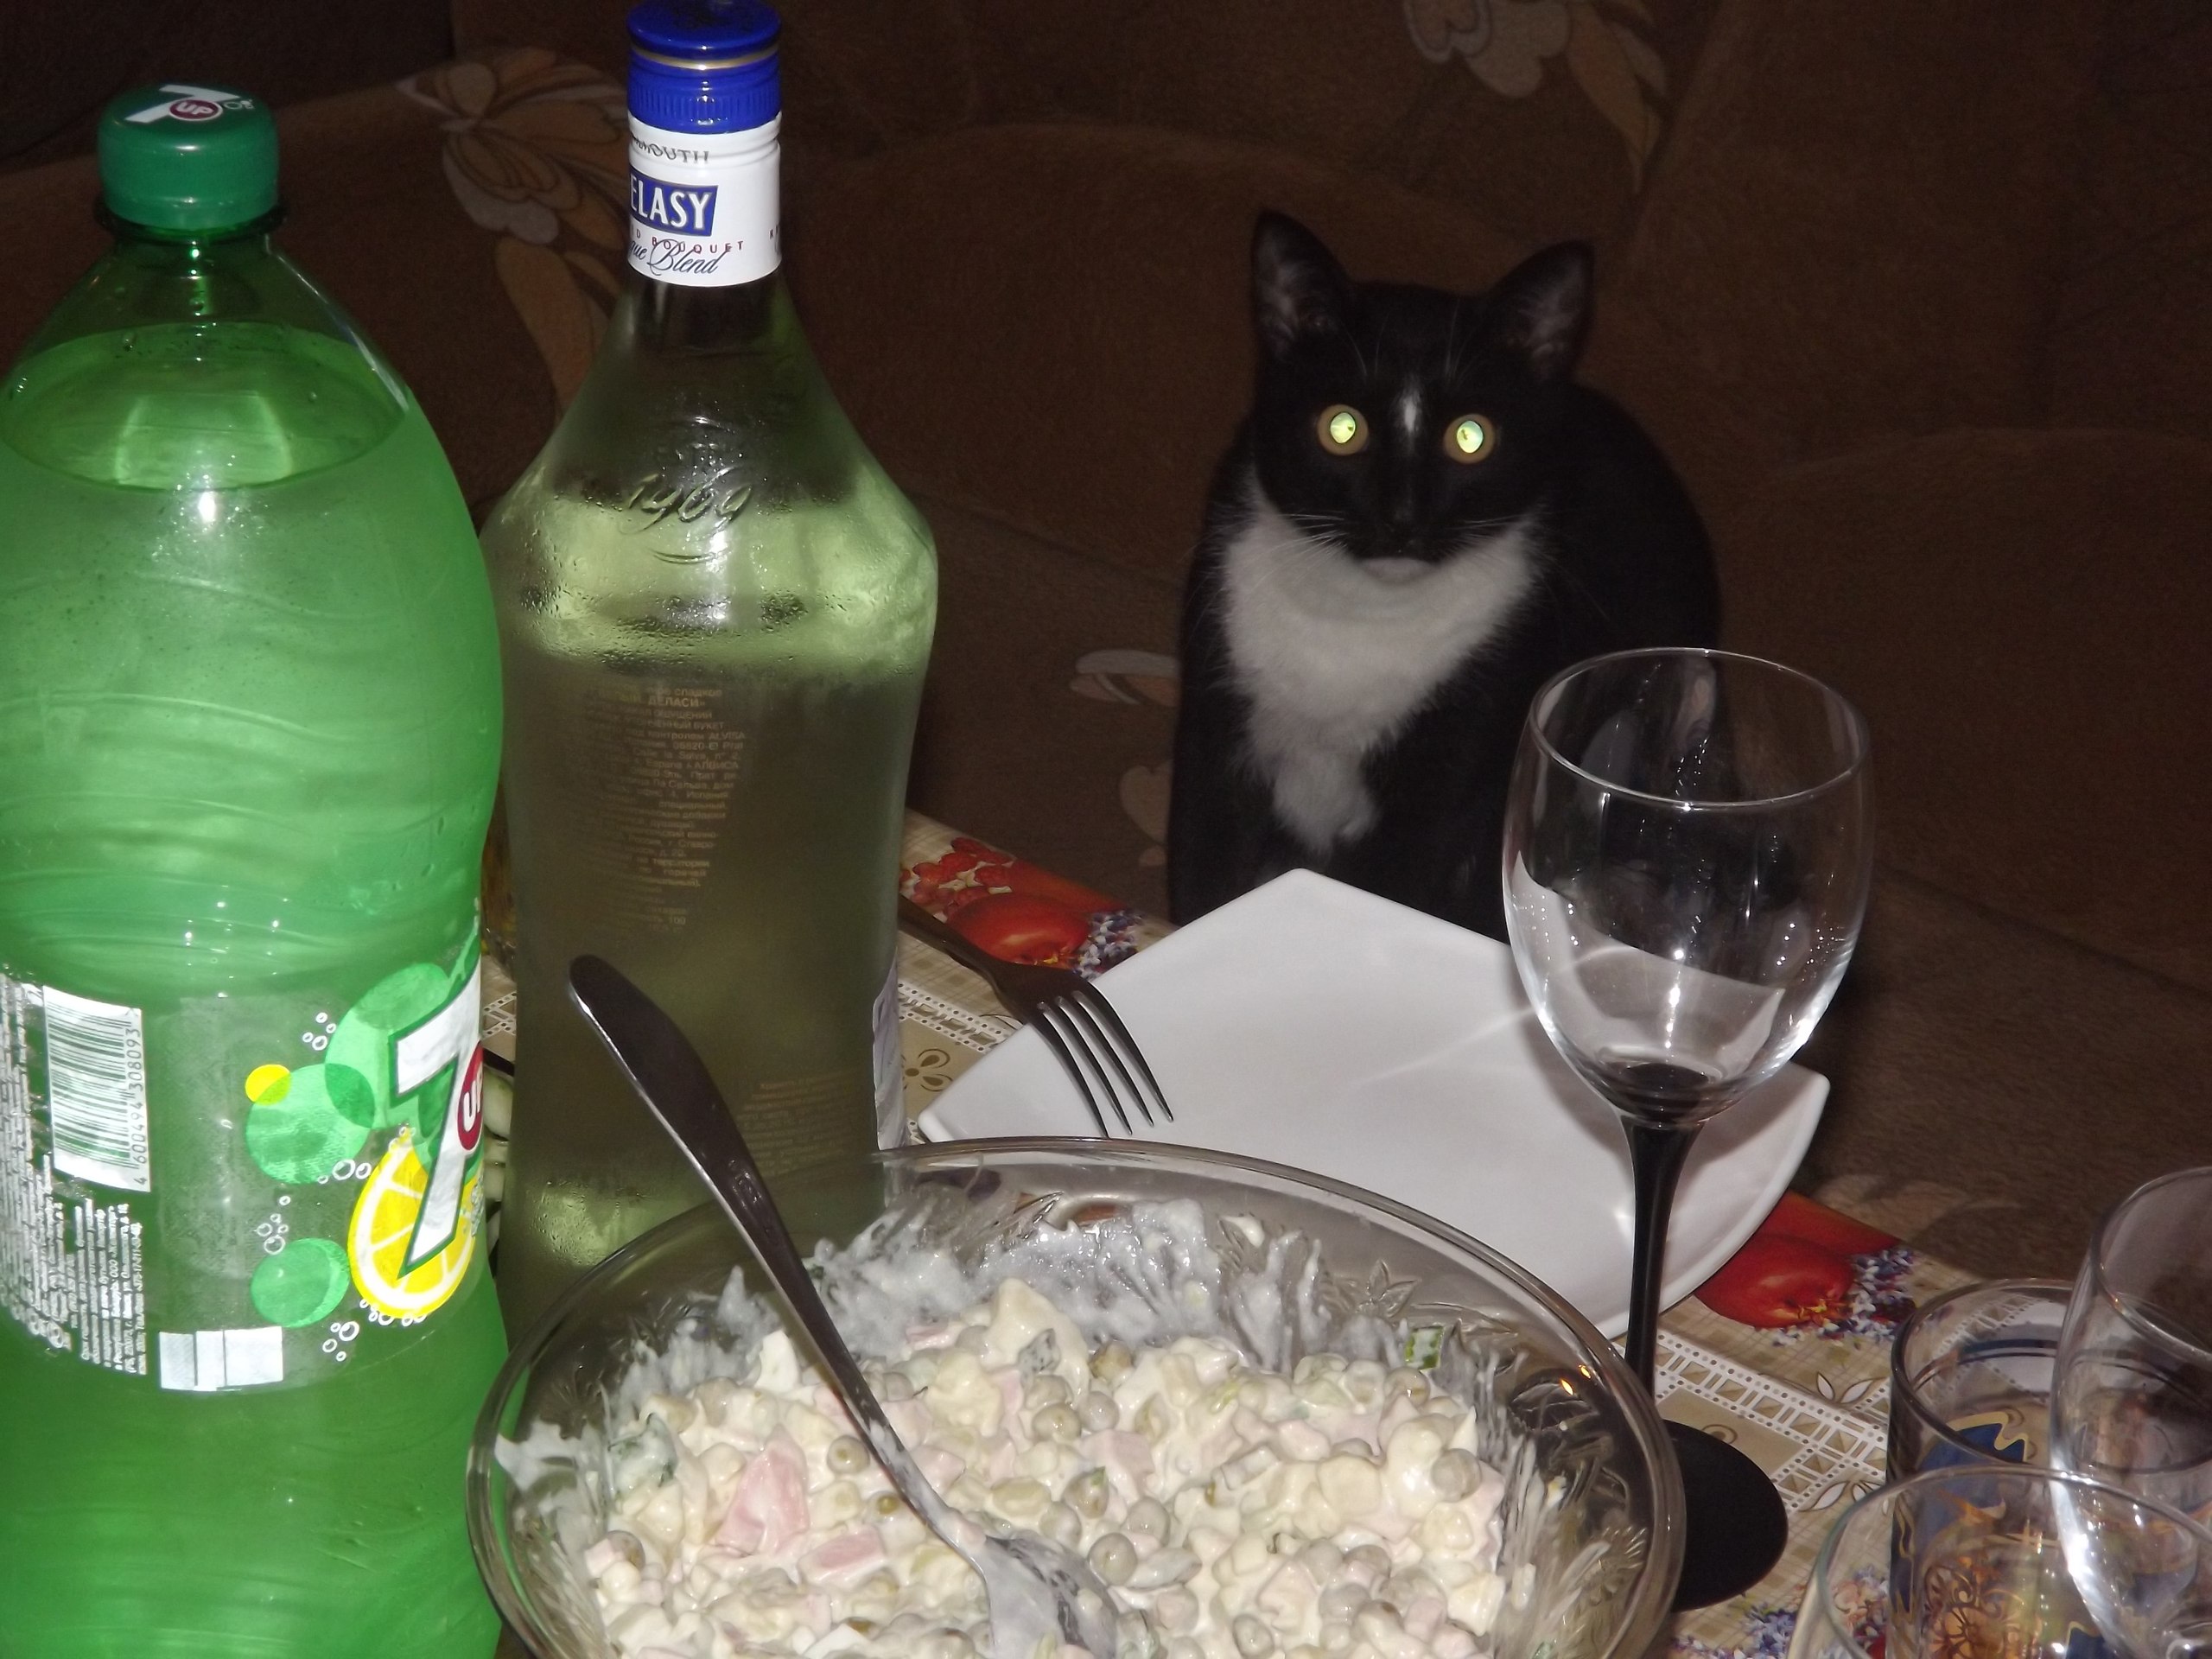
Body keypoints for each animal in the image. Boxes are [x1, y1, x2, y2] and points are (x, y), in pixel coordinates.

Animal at [1168, 212, 1720, 938]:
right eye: (1340, 427)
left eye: (1470, 437)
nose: (1401, 516)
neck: (1362, 614)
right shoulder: (1218, 726)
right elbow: (1206, 868)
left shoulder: (1455, 765)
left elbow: (1393, 885)